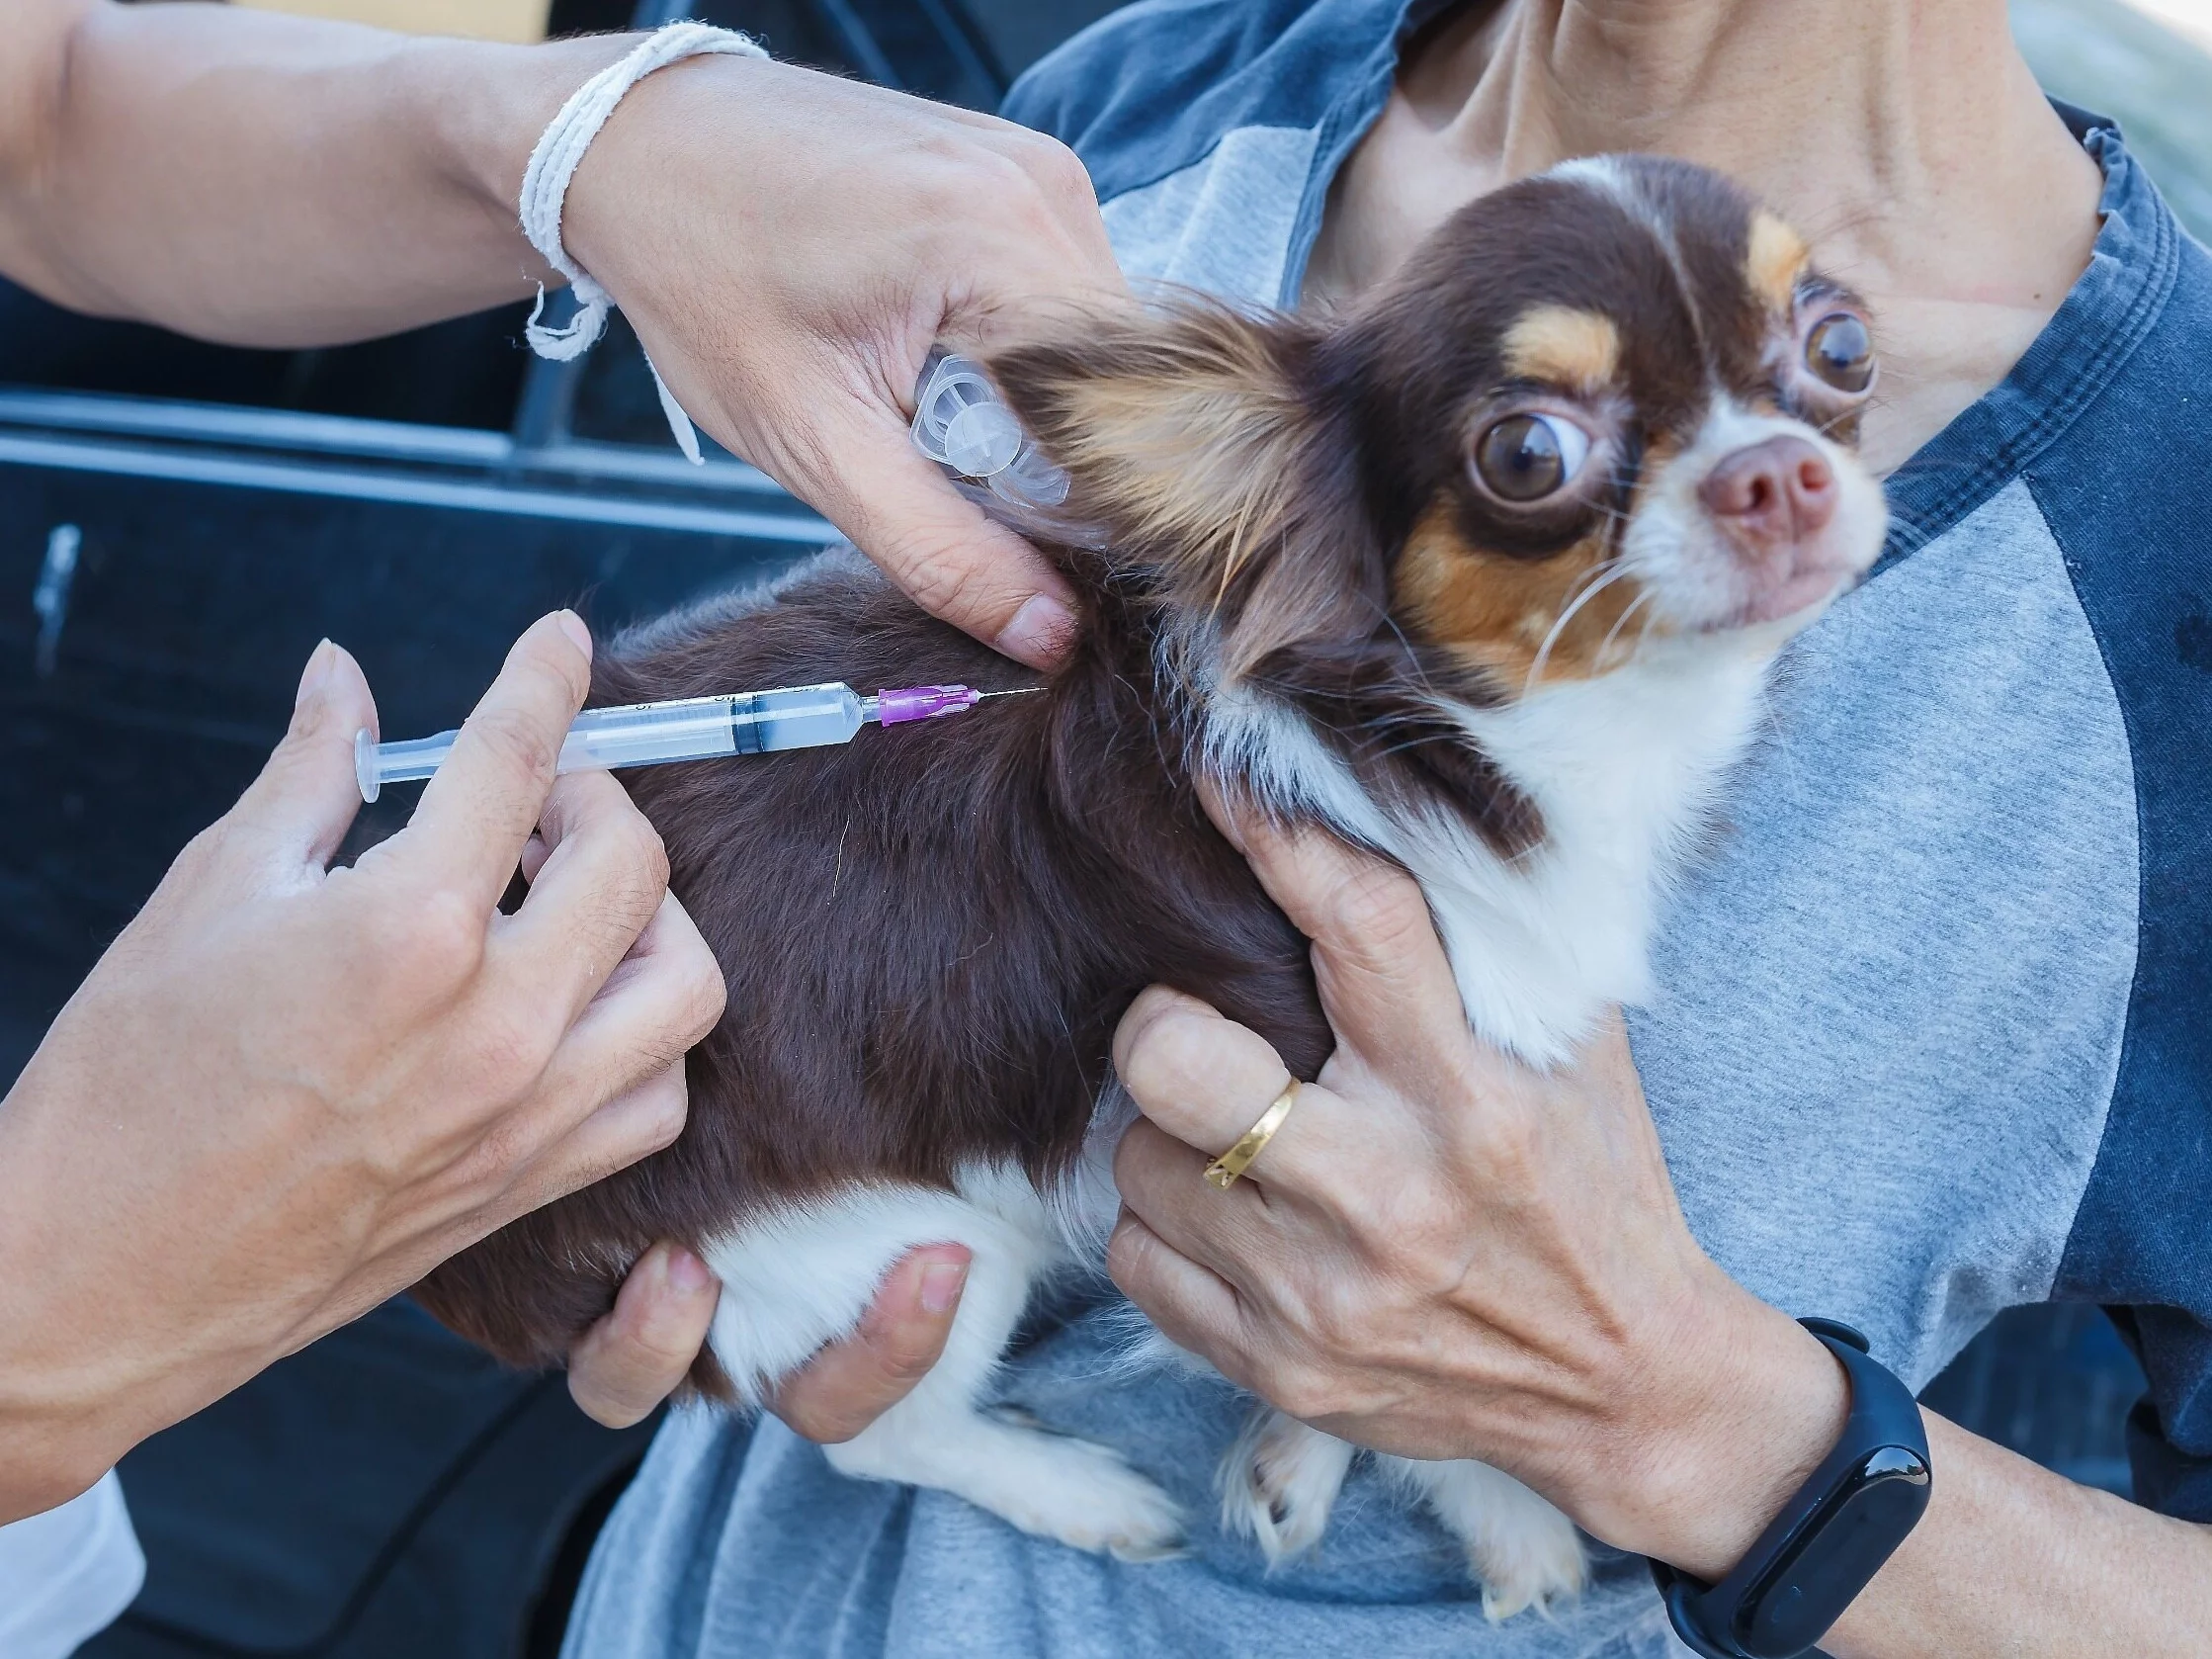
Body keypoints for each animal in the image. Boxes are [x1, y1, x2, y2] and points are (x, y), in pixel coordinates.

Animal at [415, 159, 1884, 1627]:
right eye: (1527, 456)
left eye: (1843, 348)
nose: (1778, 471)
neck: (1459, 740)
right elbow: (1411, 1385)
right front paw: (1507, 1512)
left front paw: (1305, 1466)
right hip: (894, 1240)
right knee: (879, 1429)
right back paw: (1087, 1495)